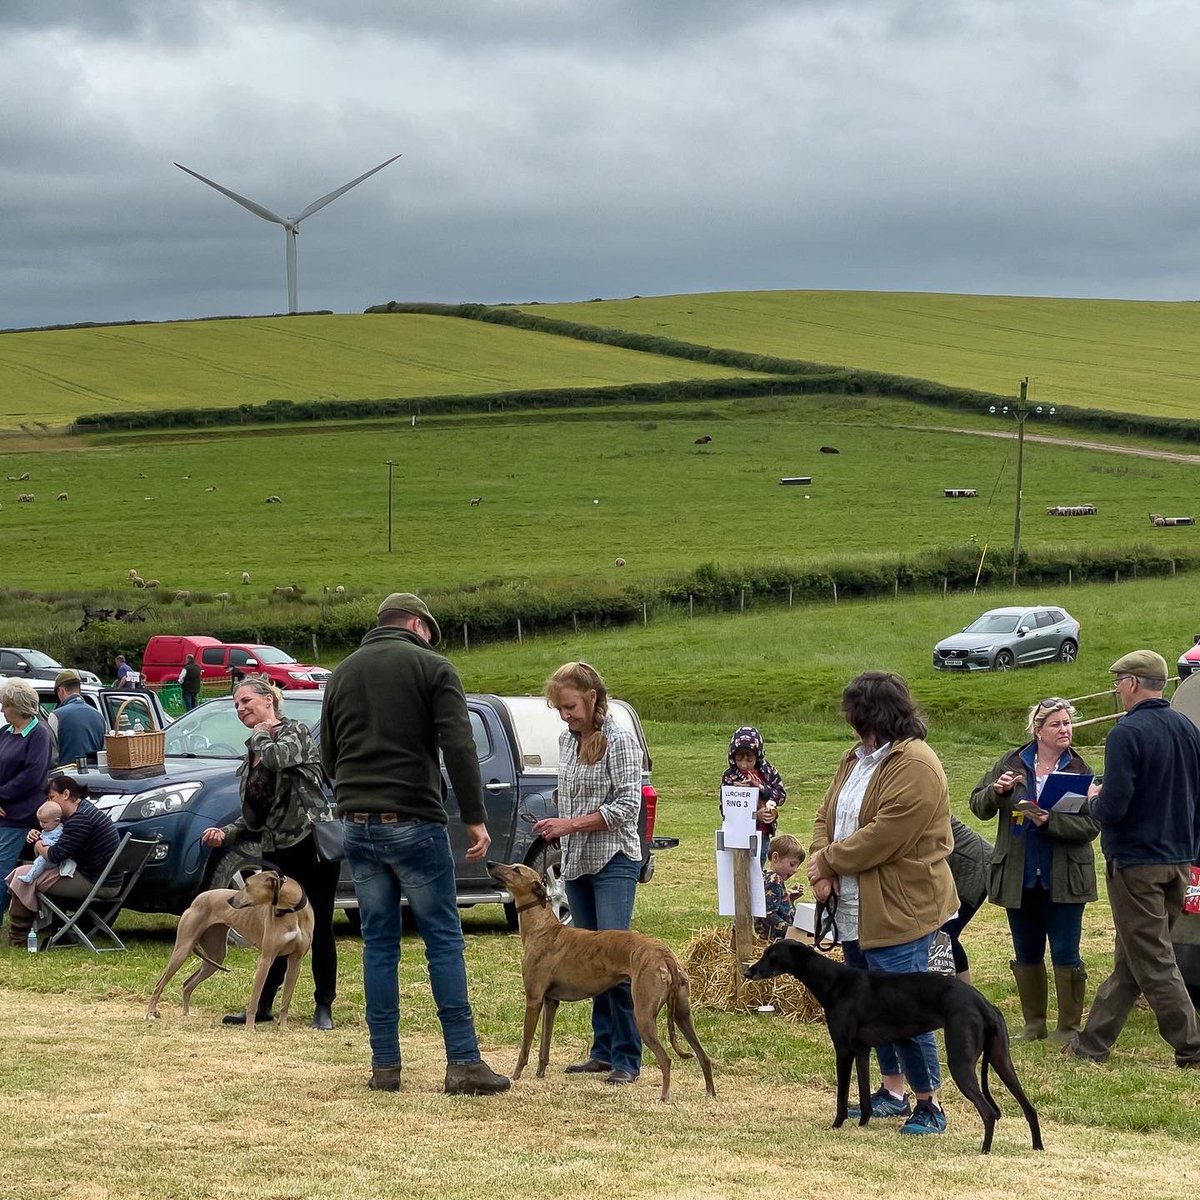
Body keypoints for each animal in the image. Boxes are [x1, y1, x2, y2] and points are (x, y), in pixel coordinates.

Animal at [145, 873, 316, 1032]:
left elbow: (286, 1000)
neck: (292, 912)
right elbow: (254, 1000)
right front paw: (249, 1028)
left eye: (247, 884)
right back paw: (150, 1013)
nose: (230, 900)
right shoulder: (266, 959)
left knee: (187, 984)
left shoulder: (296, 961)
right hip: (183, 949)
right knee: (160, 984)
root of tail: (198, 898)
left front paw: (283, 1028)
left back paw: (186, 1014)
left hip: (215, 958)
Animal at [484, 859, 710, 1099]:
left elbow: (525, 1047)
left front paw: (515, 1076)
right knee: (704, 1056)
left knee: (666, 1059)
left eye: (516, 870)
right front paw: (540, 1073)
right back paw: (709, 1093)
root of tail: (664, 954)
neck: (542, 927)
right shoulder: (551, 1002)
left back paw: (664, 1096)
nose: (489, 863)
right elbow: (544, 1046)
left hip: (643, 1015)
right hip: (682, 1014)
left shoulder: (534, 1000)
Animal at [744, 940, 1046, 1147]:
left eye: (770, 954)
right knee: (1029, 1108)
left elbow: (842, 1095)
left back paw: (984, 1150)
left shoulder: (843, 1050)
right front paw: (863, 1123)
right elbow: (864, 1096)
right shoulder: (862, 1050)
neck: (834, 981)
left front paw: (837, 1124)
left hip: (961, 1062)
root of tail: (983, 1004)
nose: (748, 972)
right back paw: (1036, 1147)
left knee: (988, 1112)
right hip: (1001, 1060)